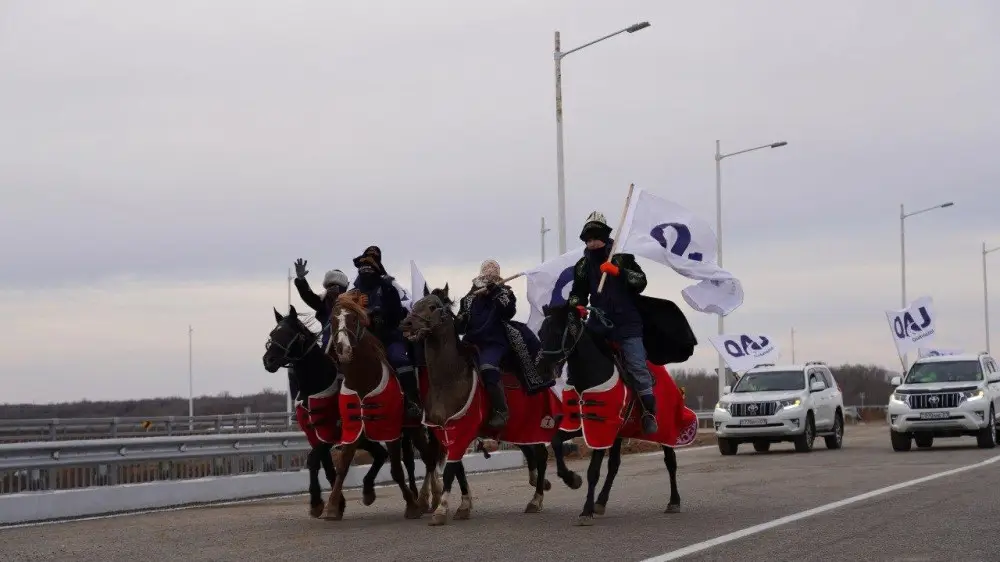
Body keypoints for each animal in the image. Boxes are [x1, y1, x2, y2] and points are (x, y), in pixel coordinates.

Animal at [262, 305, 391, 518]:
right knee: (380, 454)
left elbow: (314, 460)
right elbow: (325, 465)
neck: (316, 383)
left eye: (290, 334)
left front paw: (317, 502)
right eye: (273, 333)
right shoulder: (314, 433)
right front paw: (337, 503)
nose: (268, 360)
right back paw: (367, 490)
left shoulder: (330, 432)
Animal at [324, 291, 443, 520]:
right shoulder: (353, 428)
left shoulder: (390, 430)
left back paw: (429, 500)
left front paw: (411, 505)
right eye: (333, 319)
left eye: (353, 319)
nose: (343, 349)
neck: (363, 379)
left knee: (429, 458)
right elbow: (343, 466)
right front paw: (332, 507)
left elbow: (396, 469)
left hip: (415, 427)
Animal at [400, 285, 559, 526]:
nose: (407, 324)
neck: (449, 381)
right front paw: (464, 506)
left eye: (433, 306)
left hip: (533, 426)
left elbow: (451, 470)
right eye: (415, 304)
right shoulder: (444, 432)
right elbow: (457, 469)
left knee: (540, 455)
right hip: (518, 430)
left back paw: (536, 500)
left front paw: (441, 510)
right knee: (536, 454)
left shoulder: (462, 429)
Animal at [534, 302, 698, 526]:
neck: (589, 376)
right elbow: (557, 442)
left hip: (665, 429)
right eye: (540, 332)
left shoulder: (601, 426)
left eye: (558, 332)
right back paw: (601, 502)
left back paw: (674, 501)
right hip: (621, 432)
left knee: (670, 461)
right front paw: (572, 479)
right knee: (614, 465)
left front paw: (585, 511)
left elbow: (593, 471)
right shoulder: (580, 424)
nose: (542, 368)